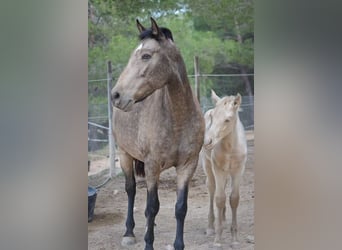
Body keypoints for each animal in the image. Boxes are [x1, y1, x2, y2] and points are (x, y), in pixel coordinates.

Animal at [111, 18, 204, 250]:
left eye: (146, 55)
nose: (116, 95)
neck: (178, 119)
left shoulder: (188, 166)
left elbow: (180, 208)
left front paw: (178, 245)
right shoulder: (153, 165)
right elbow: (152, 206)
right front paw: (148, 243)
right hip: (125, 154)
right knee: (131, 189)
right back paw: (129, 233)